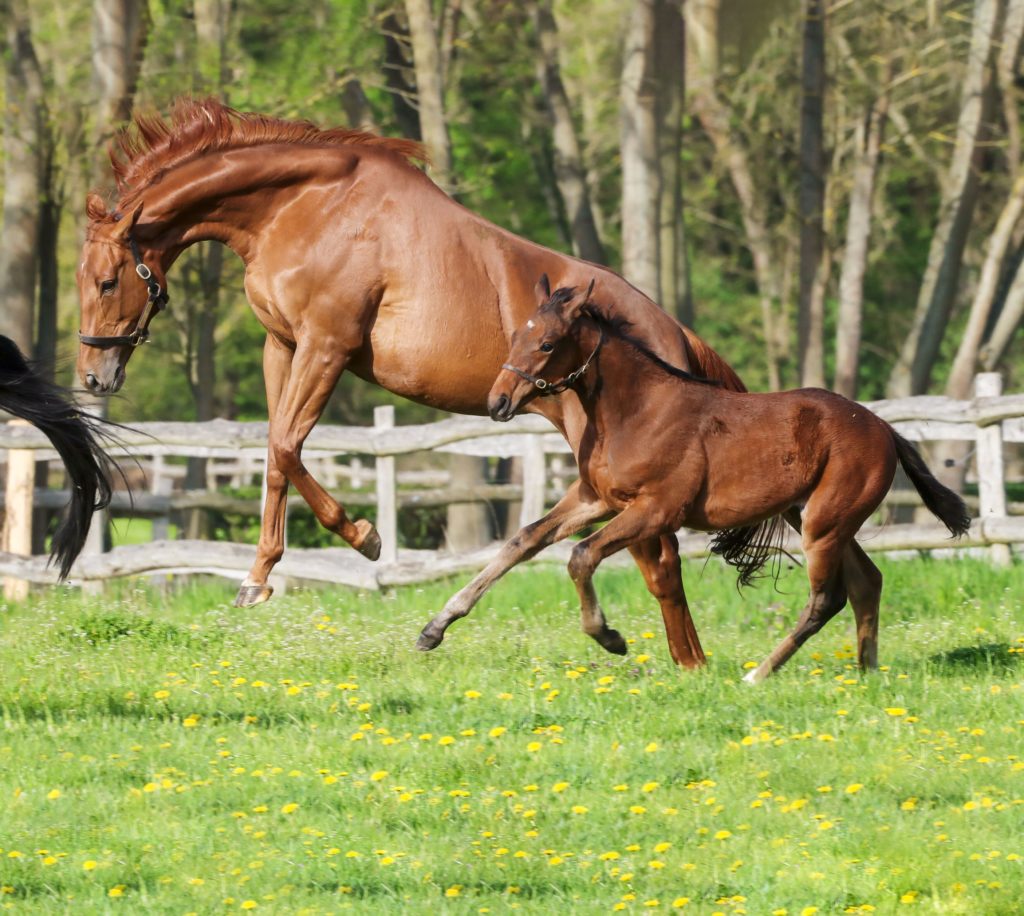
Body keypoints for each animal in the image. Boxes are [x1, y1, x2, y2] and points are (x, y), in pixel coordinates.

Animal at [77, 96, 753, 663]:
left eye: (107, 281)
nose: (92, 376)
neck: (305, 207)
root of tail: (672, 334)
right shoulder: (283, 345)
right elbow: (274, 455)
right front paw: (258, 578)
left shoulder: (325, 347)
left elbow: (287, 447)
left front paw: (365, 538)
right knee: (630, 554)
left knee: (654, 560)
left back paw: (678, 661)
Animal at [421, 278, 966, 679]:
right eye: (515, 337)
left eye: (548, 343)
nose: (498, 402)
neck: (636, 411)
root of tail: (883, 428)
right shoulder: (596, 497)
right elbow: (523, 541)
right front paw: (434, 627)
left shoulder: (657, 508)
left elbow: (581, 556)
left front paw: (610, 637)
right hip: (818, 518)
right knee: (867, 581)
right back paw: (867, 671)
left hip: (825, 524)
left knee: (827, 598)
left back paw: (759, 673)